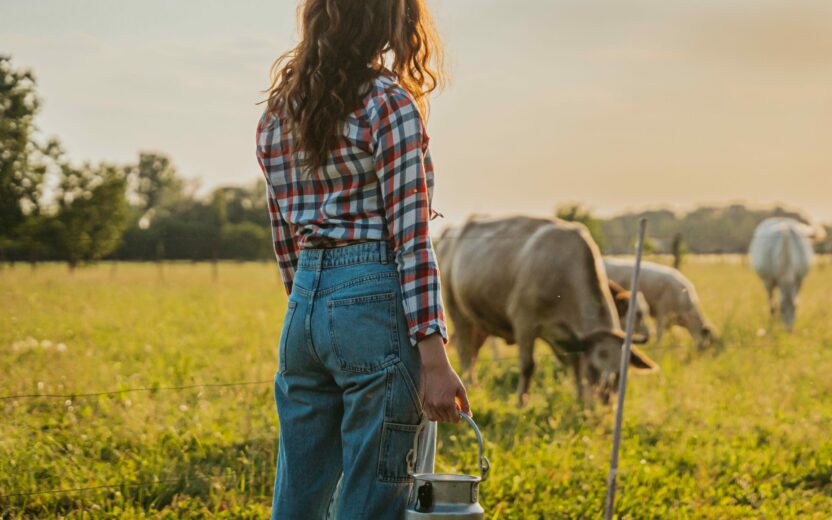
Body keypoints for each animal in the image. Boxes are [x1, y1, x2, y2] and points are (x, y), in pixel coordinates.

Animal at [435, 216, 657, 406]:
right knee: (464, 350)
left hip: (480, 321)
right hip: (455, 310)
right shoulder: (524, 322)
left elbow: (576, 367)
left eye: (621, 373)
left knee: (473, 352)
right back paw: (471, 385)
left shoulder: (570, 338)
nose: (605, 401)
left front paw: (579, 398)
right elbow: (528, 366)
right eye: (594, 369)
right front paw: (521, 403)